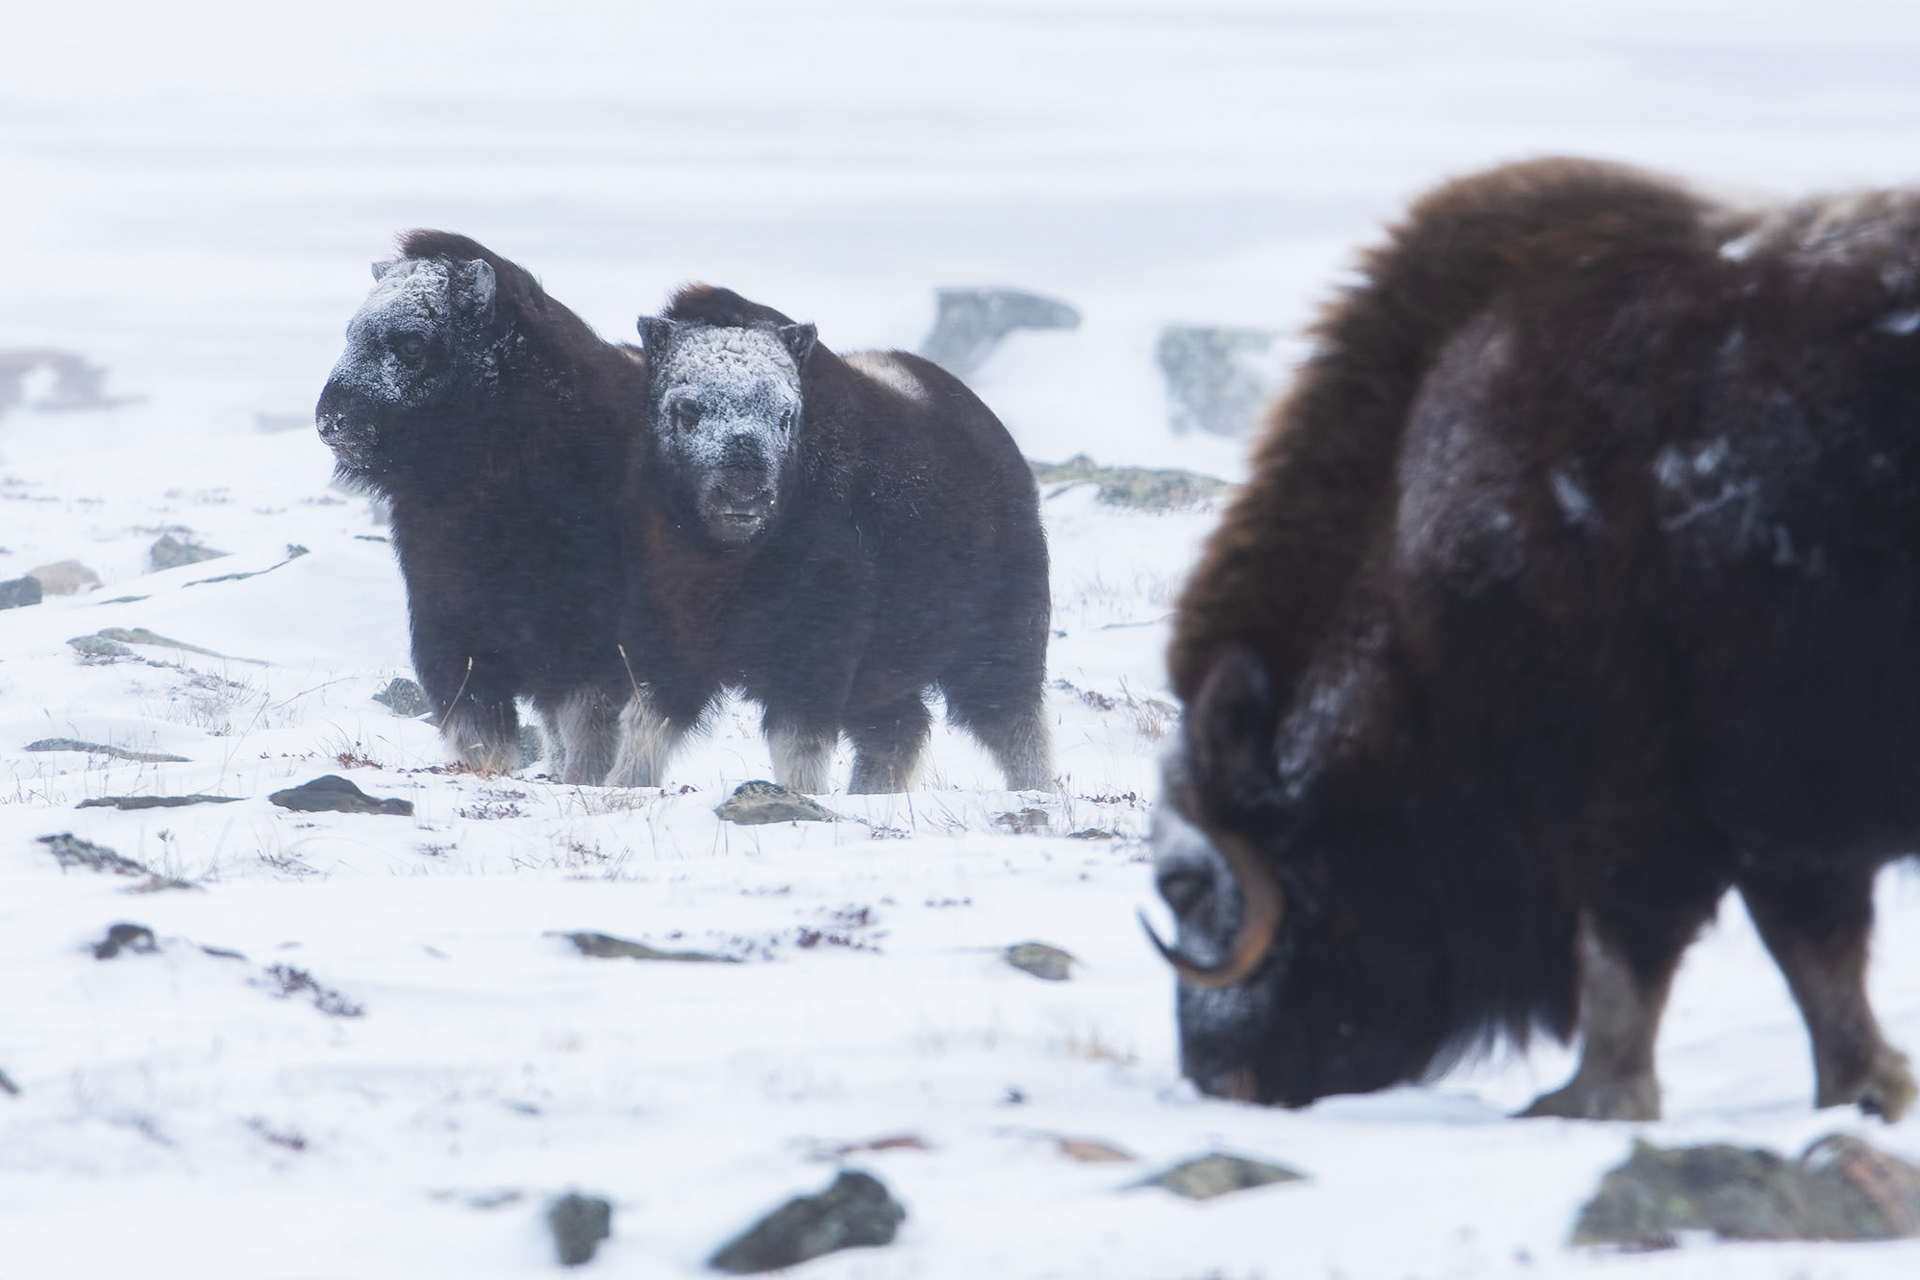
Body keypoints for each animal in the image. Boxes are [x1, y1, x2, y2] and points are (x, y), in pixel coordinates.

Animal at [316, 231, 644, 783]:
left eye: (411, 343)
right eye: (351, 333)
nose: (329, 421)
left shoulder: (591, 649)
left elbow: (589, 728)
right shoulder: (453, 641)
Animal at [608, 285, 1053, 795]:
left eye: (785, 416)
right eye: (688, 409)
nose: (745, 492)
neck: (725, 560)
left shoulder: (815, 653)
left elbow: (799, 741)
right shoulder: (667, 640)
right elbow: (647, 725)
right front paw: (623, 787)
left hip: (1000, 638)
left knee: (1013, 721)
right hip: (883, 677)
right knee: (902, 728)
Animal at [1148, 157, 1920, 1122]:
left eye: (1181, 885)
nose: (1216, 1079)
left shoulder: (1636, 798)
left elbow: (1634, 953)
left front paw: (1584, 1101)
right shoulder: (1772, 814)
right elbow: (1813, 956)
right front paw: (1865, 1087)